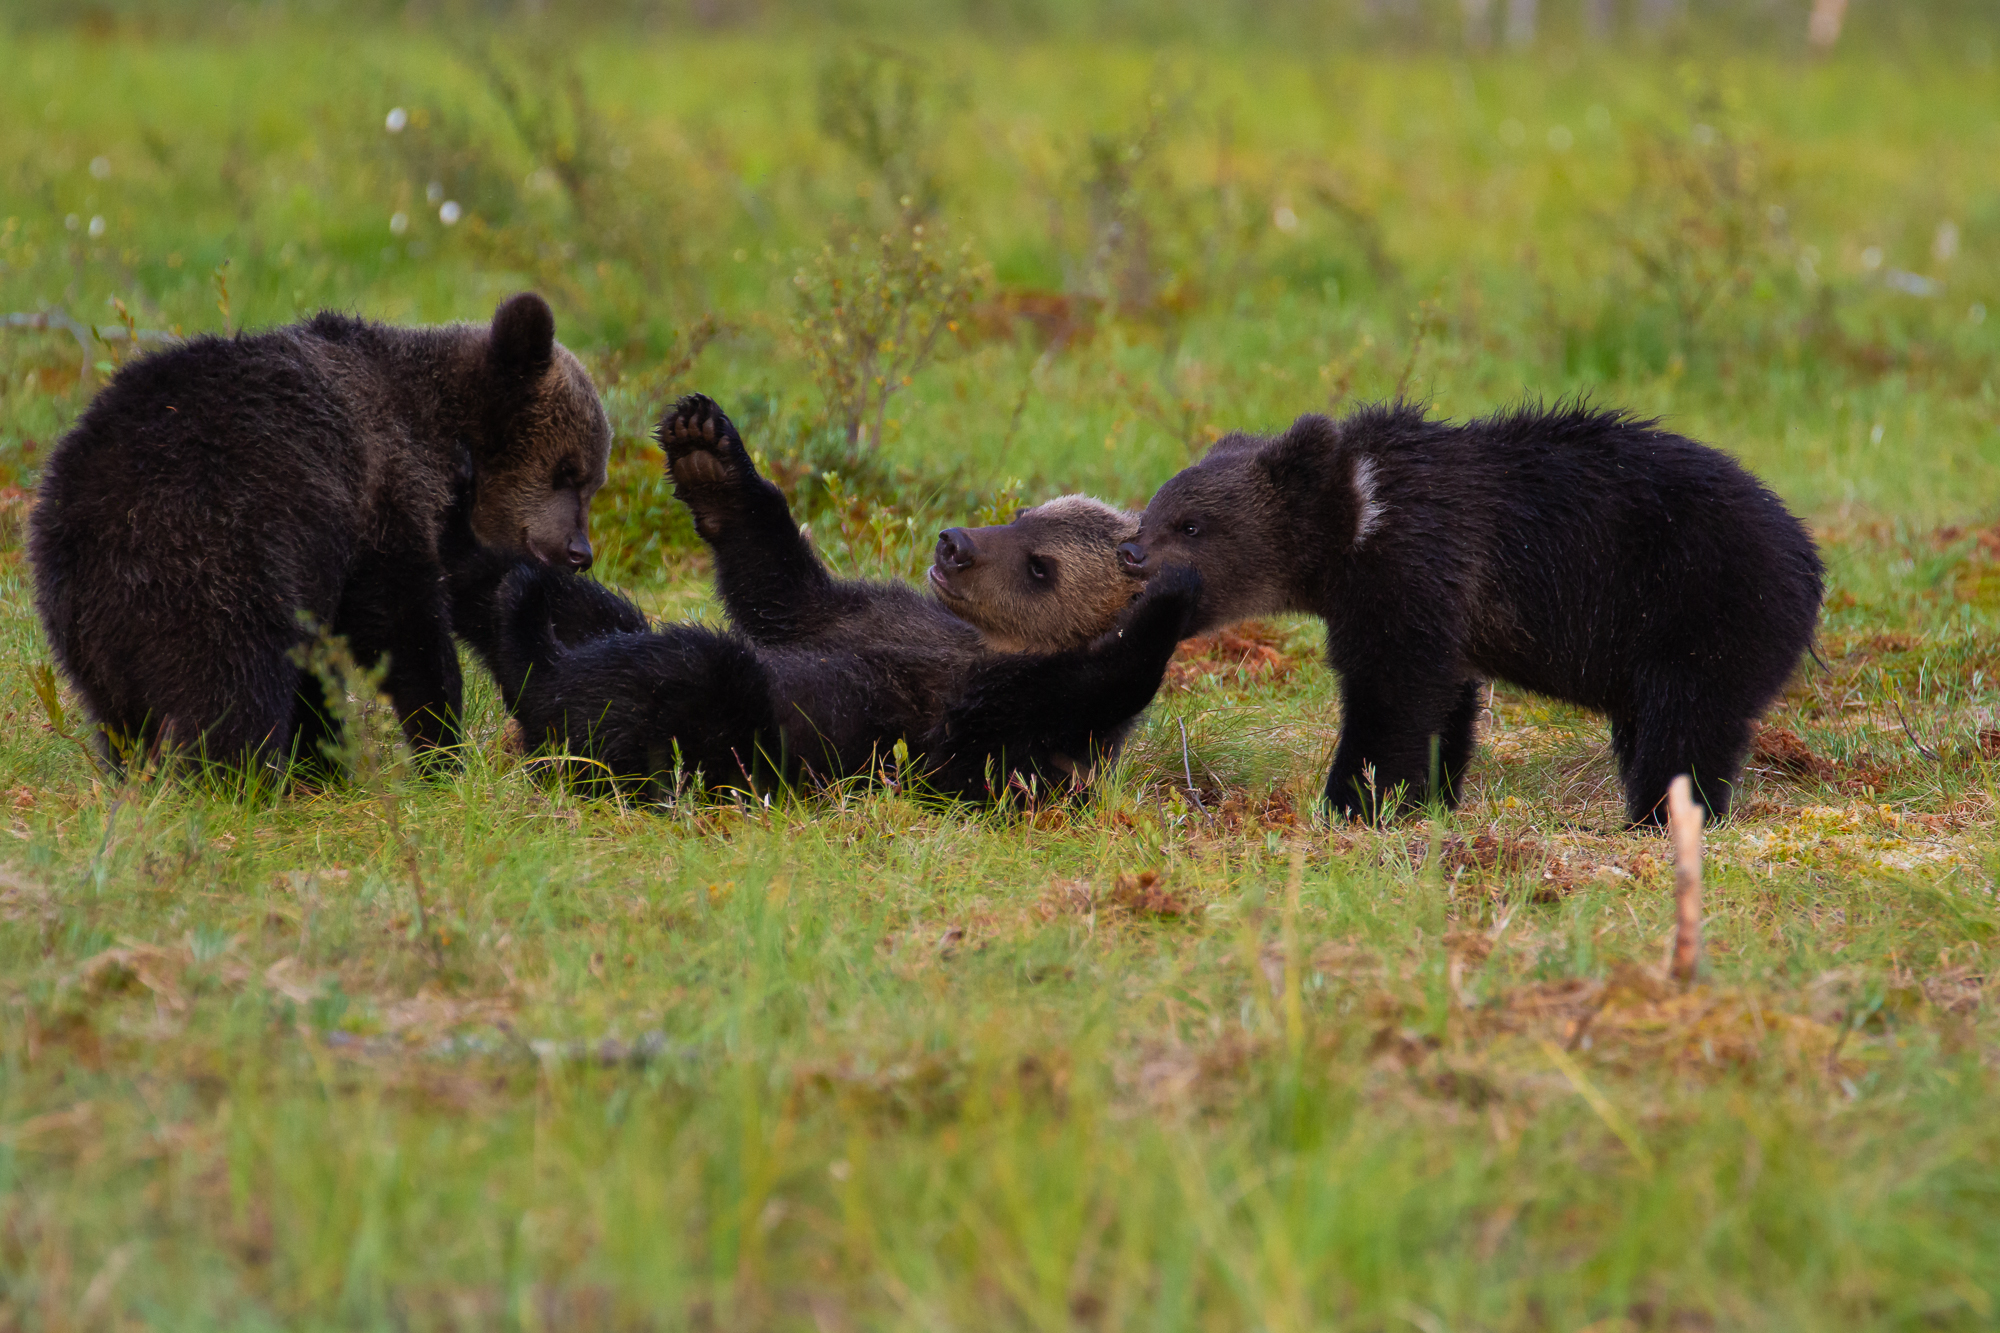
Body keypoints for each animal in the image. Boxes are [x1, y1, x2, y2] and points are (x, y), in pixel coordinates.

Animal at [29, 293, 610, 776]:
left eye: (593, 480)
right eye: (567, 471)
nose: (579, 550)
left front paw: (324, 759)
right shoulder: (374, 498)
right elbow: (403, 623)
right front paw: (440, 743)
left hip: (90, 628)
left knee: (119, 715)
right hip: (209, 558)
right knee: (231, 680)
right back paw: (237, 777)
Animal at [452, 394, 1197, 805]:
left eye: (1042, 568)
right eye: (1022, 512)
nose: (953, 545)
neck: (979, 646)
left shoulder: (991, 728)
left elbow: (994, 741)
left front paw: (1165, 604)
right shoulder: (880, 617)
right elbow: (783, 590)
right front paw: (708, 449)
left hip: (732, 728)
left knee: (679, 673)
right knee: (584, 610)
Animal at [1116, 401, 1824, 826]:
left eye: (1190, 523)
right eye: (1154, 509)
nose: (1129, 552)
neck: (1359, 522)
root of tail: (1809, 557)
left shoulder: (1419, 561)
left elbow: (1392, 693)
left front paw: (1354, 799)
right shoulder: (1431, 603)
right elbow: (1441, 699)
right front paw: (1428, 794)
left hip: (1702, 606)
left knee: (1685, 724)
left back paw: (1657, 816)